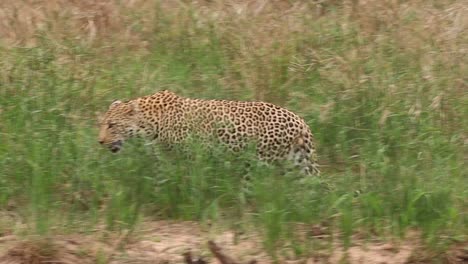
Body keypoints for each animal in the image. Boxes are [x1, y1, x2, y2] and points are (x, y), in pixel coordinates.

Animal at [97, 90, 320, 175]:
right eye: (104, 124)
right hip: (297, 163)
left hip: (262, 163)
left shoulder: (193, 155)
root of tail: (301, 122)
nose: (100, 141)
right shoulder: (167, 157)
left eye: (112, 125)